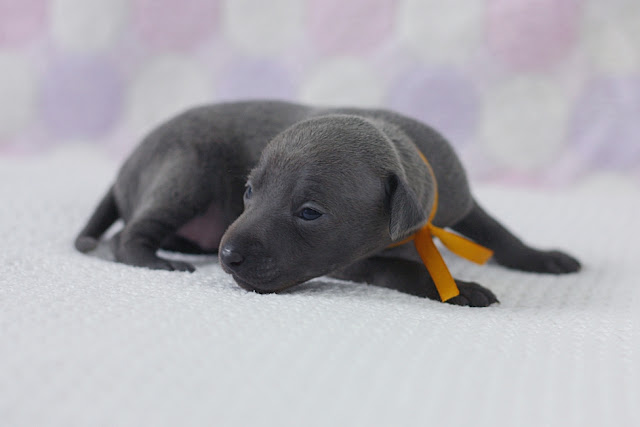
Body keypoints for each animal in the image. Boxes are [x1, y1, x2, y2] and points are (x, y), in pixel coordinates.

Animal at [75, 100, 580, 308]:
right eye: (248, 191)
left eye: (310, 213)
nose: (228, 256)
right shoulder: (355, 261)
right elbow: (399, 269)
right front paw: (459, 286)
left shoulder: (457, 198)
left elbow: (497, 231)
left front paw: (542, 257)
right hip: (186, 169)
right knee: (126, 235)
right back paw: (157, 260)